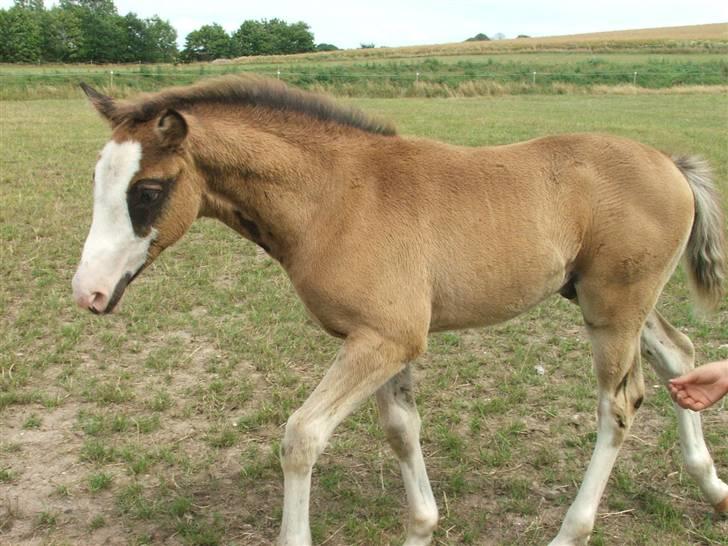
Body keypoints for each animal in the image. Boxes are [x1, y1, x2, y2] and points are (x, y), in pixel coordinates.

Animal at [71, 76, 724, 544]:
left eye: (147, 191)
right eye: (98, 181)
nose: (88, 292)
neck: (335, 197)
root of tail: (670, 163)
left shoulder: (386, 338)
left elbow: (301, 436)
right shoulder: (381, 340)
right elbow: (401, 429)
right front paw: (422, 527)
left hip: (613, 307)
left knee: (620, 403)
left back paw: (572, 531)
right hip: (608, 299)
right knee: (680, 356)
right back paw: (713, 487)